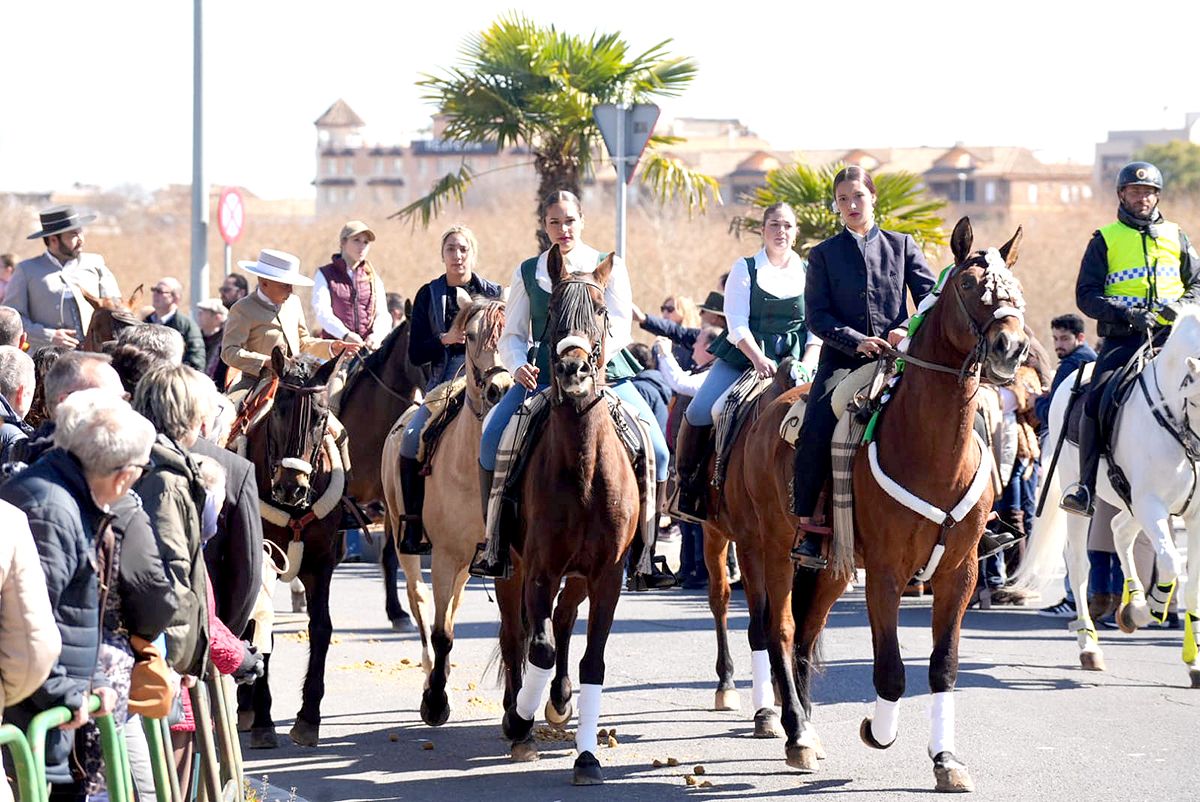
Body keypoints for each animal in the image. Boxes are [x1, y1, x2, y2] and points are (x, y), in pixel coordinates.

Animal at [234, 348, 348, 749]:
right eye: (279, 410)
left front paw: (309, 716)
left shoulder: (322, 564)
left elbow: (322, 628)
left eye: (320, 415)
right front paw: (264, 719)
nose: (291, 486)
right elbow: (259, 628)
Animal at [379, 294, 511, 725]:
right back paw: (428, 670)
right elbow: (440, 632)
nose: (500, 388)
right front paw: (435, 700)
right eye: (468, 336)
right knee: (420, 603)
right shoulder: (444, 555)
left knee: (450, 605)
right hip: (405, 541)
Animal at [494, 247, 648, 787]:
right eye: (555, 311)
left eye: (601, 311)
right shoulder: (539, 569)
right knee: (515, 634)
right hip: (511, 569)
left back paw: (559, 701)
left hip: (579, 575)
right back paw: (517, 715)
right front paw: (520, 721)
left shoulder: (607, 575)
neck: (583, 466)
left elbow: (593, 661)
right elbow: (536, 647)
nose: (574, 371)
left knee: (562, 620)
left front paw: (586, 756)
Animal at [787, 216, 1032, 792]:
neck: (932, 450)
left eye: (1014, 286)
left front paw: (946, 760)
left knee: (805, 636)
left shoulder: (959, 573)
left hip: (833, 567)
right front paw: (878, 731)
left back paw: (805, 734)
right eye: (968, 284)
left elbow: (943, 667)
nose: (1011, 347)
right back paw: (795, 734)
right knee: (778, 633)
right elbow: (891, 669)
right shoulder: (886, 573)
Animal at [1017, 303, 1200, 686]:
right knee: (1079, 563)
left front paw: (1193, 661)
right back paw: (1091, 645)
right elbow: (1171, 564)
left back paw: (1129, 604)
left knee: (1118, 531)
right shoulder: (1151, 504)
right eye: (1195, 400)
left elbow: (1190, 582)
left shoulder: (1191, 514)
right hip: (1081, 497)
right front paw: (1149, 610)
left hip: (1130, 503)